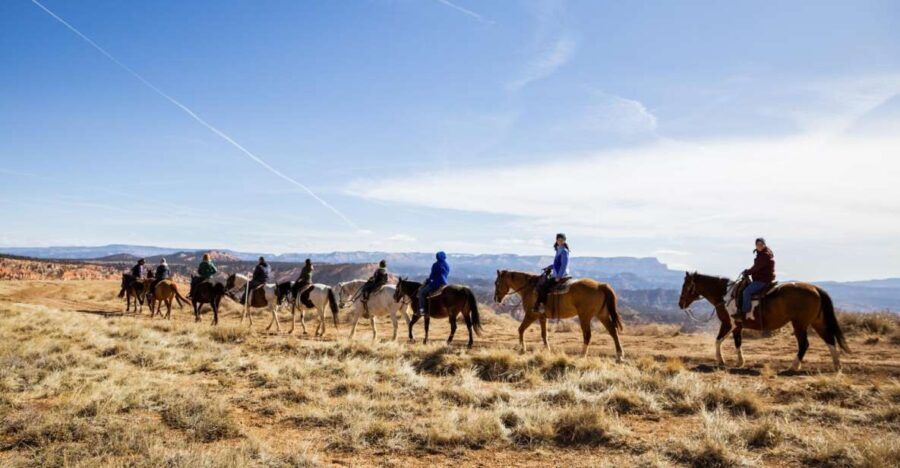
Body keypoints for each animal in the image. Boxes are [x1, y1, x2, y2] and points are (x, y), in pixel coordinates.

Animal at [493, 270, 624, 361]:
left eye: (496, 283)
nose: (496, 299)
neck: (529, 288)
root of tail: (600, 285)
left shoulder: (531, 315)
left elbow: (520, 329)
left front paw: (522, 349)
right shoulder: (542, 317)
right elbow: (544, 334)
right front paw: (547, 350)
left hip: (585, 316)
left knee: (588, 335)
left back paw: (582, 355)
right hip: (602, 315)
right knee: (613, 332)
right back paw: (619, 355)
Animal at [678, 272, 849, 371]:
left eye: (685, 285)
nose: (680, 304)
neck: (725, 295)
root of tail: (815, 289)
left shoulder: (728, 323)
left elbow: (718, 341)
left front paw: (721, 361)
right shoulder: (737, 326)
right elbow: (737, 343)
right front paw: (740, 362)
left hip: (799, 324)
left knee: (804, 344)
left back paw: (794, 366)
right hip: (816, 322)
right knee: (829, 340)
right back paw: (837, 366)